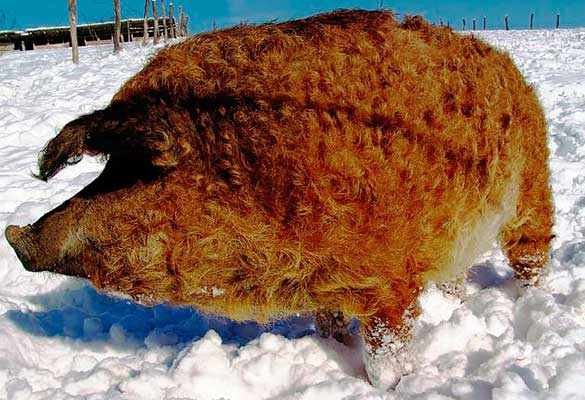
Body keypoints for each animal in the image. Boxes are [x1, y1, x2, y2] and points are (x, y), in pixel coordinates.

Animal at [4, 10, 552, 390]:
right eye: (108, 169)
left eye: (137, 170)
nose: (14, 236)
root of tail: (511, 70)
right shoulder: (328, 283)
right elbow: (331, 325)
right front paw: (332, 348)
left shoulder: (389, 280)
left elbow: (384, 351)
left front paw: (391, 386)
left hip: (532, 193)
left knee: (532, 254)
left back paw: (533, 301)